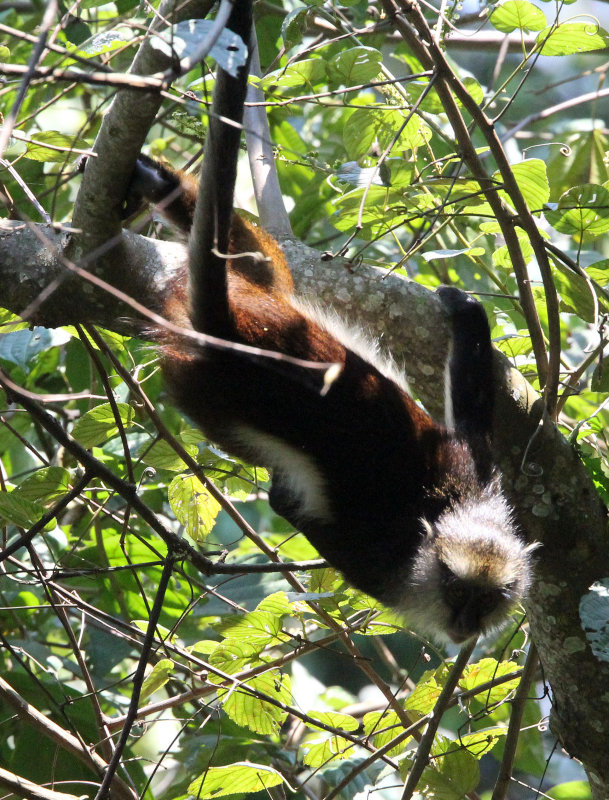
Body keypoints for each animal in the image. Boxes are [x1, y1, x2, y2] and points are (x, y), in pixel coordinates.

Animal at [123, 0, 532, 640]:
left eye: (491, 599)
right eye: (457, 592)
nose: (468, 624)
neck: (442, 513)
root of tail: (229, 332)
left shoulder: (480, 476)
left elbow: (469, 416)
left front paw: (464, 312)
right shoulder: (388, 565)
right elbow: (288, 506)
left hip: (262, 300)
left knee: (258, 263)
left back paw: (161, 187)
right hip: (213, 396)